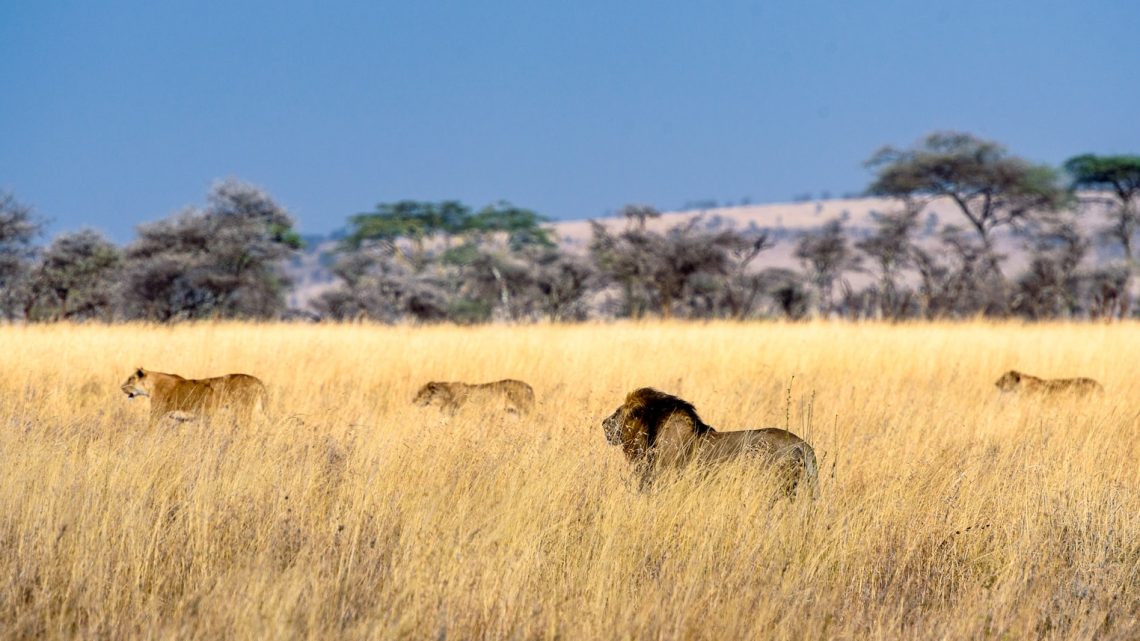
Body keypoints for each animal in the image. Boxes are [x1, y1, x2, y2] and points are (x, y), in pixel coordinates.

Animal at [120, 367, 269, 426]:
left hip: (243, 413)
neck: (151, 386)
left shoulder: (157, 414)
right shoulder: (180, 419)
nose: (121, 388)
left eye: (130, 379)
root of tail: (259, 381)